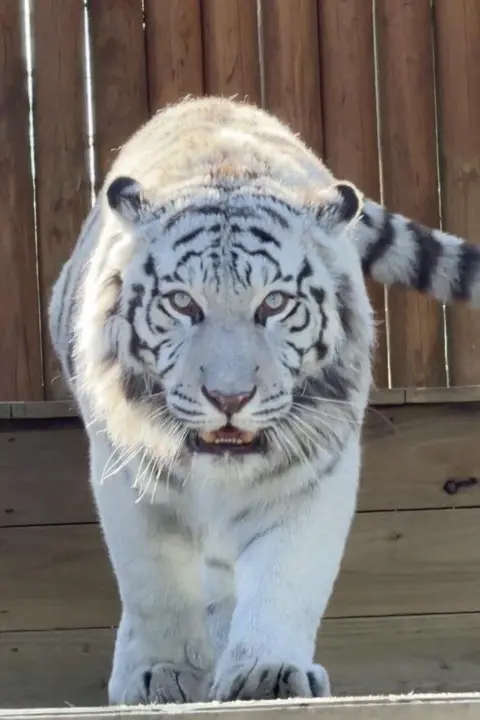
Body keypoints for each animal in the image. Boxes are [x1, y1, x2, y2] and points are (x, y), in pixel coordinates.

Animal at [49, 96, 480, 705]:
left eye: (274, 304)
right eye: (182, 303)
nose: (229, 397)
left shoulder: (314, 470)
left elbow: (286, 575)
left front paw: (265, 672)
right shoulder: (126, 471)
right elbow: (154, 585)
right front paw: (162, 672)